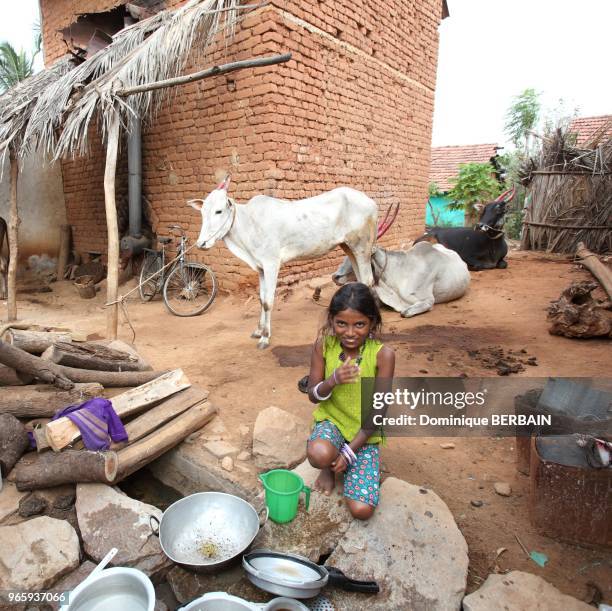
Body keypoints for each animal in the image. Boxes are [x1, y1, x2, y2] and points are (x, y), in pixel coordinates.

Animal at [189, 177, 378, 350]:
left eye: (219, 211)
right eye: (203, 212)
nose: (201, 243)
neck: (249, 224)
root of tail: (371, 202)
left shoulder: (271, 264)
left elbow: (268, 302)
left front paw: (265, 337)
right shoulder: (261, 268)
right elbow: (261, 299)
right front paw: (258, 330)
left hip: (362, 247)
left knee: (368, 281)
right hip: (349, 248)